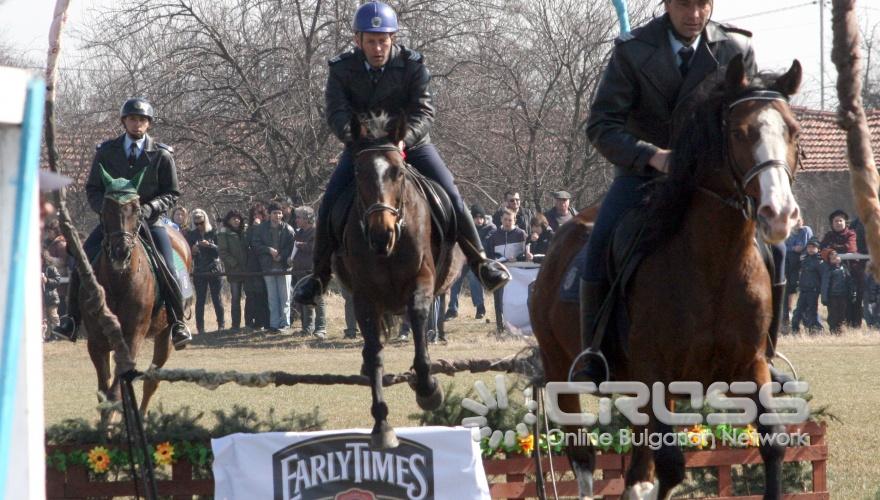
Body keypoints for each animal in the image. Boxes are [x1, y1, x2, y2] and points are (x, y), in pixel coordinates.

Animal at [84, 170, 192, 420]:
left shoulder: (134, 335)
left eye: (136, 208)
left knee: (151, 381)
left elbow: (115, 392)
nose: (120, 251)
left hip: (165, 335)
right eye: (106, 208)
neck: (118, 281)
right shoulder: (96, 341)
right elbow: (104, 393)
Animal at [332, 112, 464, 450]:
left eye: (398, 172)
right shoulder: (364, 298)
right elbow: (374, 352)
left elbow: (418, 320)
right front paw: (381, 424)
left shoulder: (422, 281)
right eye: (358, 172)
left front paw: (428, 388)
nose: (381, 234)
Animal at [528, 55, 804, 500]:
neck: (714, 263)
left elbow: (773, 445)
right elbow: (672, 466)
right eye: (740, 132)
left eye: (793, 131)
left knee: (639, 465)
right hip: (560, 370)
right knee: (583, 454)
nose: (779, 214)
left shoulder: (750, 365)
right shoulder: (655, 370)